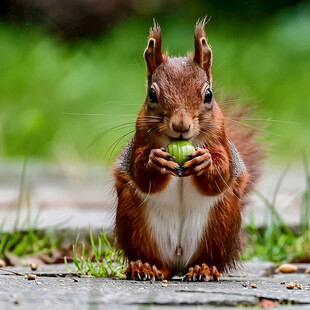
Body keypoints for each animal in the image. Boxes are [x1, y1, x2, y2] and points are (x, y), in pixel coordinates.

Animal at [112, 18, 262, 280]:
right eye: (152, 94)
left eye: (208, 95)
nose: (181, 126)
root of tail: (179, 261)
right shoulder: (139, 139)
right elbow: (140, 173)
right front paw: (155, 162)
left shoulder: (220, 139)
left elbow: (222, 172)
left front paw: (206, 162)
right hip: (133, 220)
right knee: (155, 260)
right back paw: (145, 266)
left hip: (222, 223)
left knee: (209, 258)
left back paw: (204, 268)